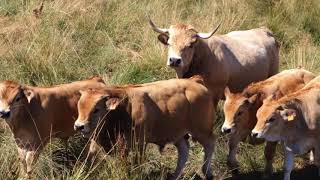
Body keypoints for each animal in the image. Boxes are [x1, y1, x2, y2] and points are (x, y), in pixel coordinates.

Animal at [74, 76, 216, 179]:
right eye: (79, 106)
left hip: (201, 131)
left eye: (96, 109)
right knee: (184, 150)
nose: (79, 126)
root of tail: (194, 81)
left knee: (210, 143)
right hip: (178, 134)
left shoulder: (139, 143)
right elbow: (90, 155)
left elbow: (136, 162)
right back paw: (174, 175)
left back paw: (207, 172)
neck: (123, 109)